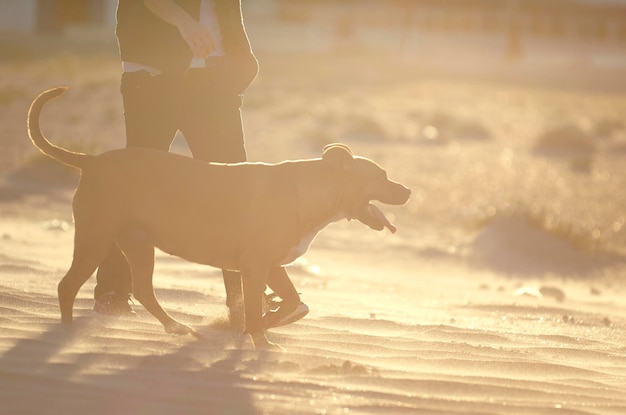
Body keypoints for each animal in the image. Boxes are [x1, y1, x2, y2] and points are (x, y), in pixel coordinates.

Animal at [28, 87, 410, 348]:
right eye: (381, 176)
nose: (407, 191)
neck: (311, 189)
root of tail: (91, 160)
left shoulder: (269, 264)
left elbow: (291, 299)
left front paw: (272, 318)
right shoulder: (256, 266)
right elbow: (257, 309)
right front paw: (261, 339)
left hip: (137, 244)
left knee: (143, 289)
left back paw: (175, 327)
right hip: (95, 238)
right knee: (68, 286)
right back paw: (66, 331)